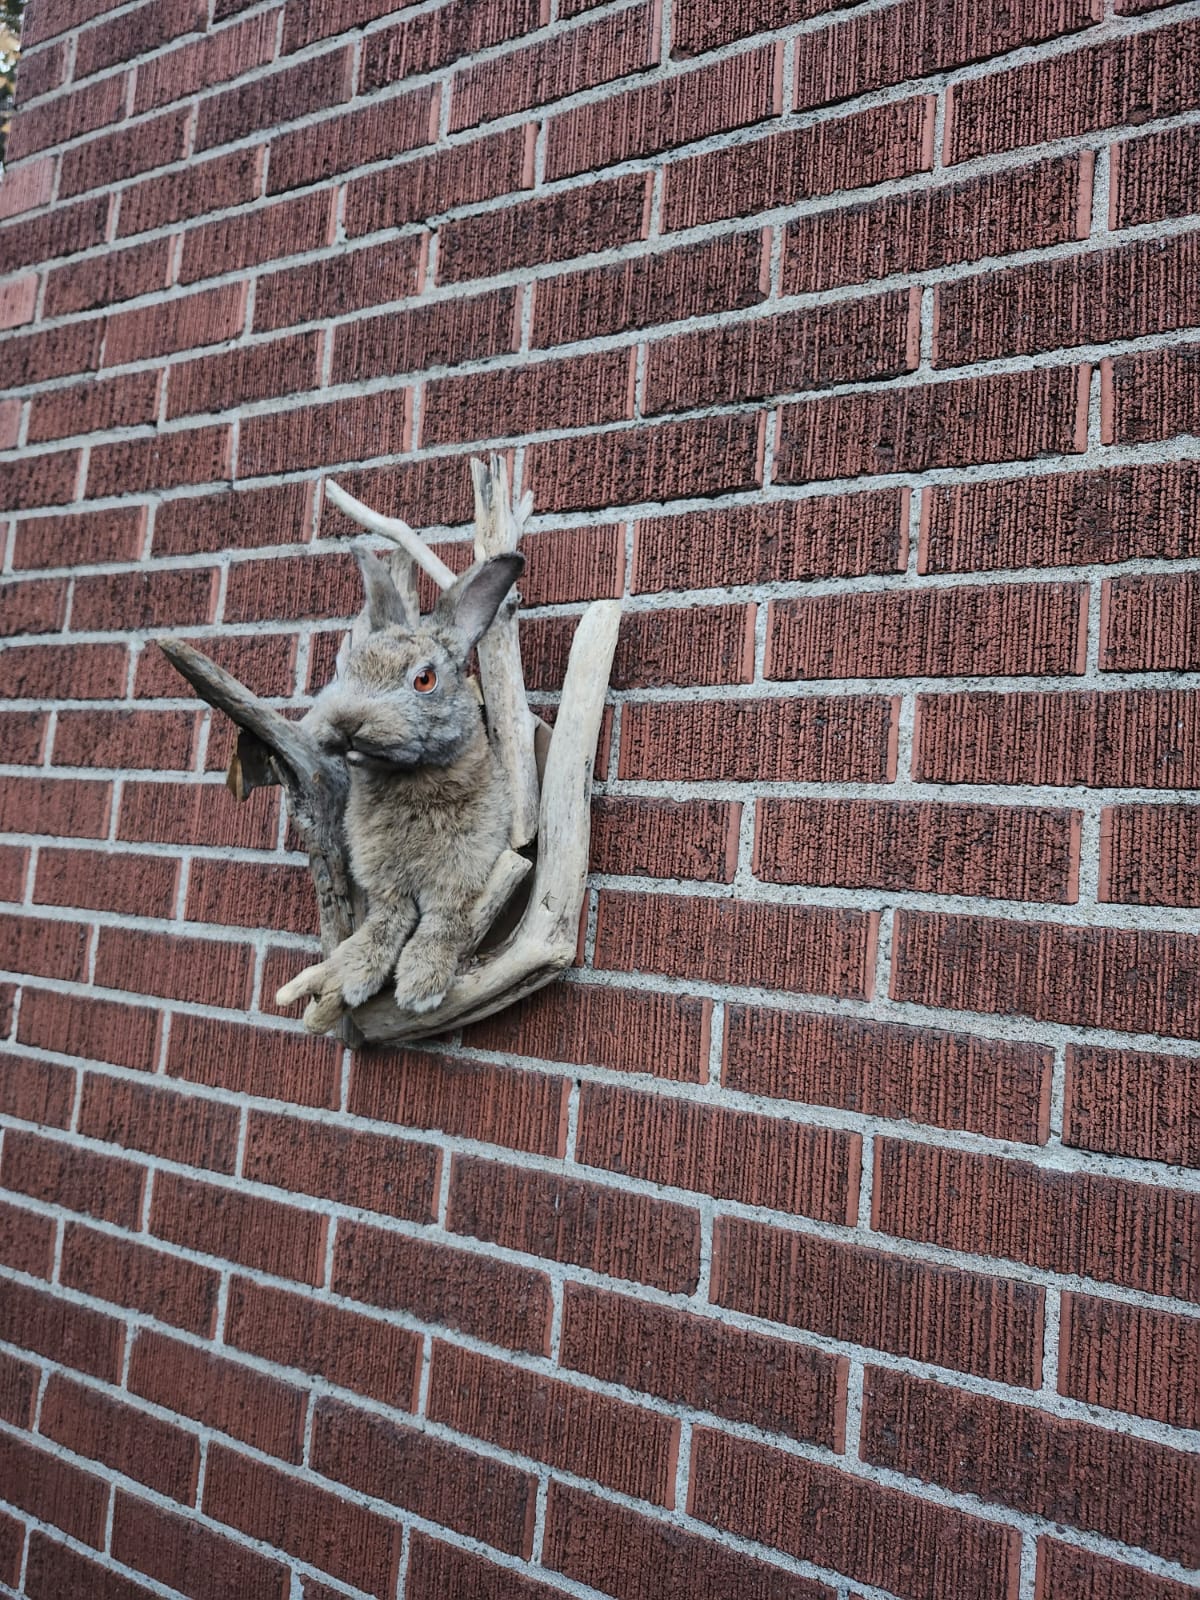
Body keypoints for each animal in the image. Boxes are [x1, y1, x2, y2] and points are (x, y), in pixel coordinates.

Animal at [278, 545, 524, 1024]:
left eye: (424, 680)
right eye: (348, 670)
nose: (347, 723)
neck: (409, 777)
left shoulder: (466, 867)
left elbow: (443, 920)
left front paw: (420, 984)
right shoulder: (382, 877)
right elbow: (388, 917)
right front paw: (358, 974)